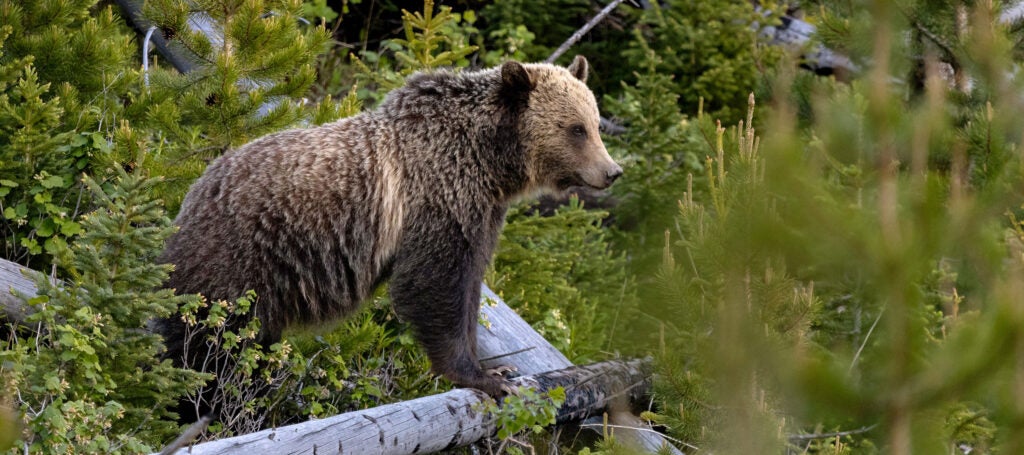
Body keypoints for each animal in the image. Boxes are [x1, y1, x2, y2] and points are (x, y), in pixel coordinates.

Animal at [155, 56, 618, 397]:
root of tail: (188, 198)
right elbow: (435, 283)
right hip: (236, 260)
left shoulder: (481, 211)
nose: (612, 171)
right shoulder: (437, 200)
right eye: (576, 128)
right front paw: (480, 376)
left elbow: (470, 286)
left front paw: (499, 368)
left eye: (595, 123)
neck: (486, 161)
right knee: (204, 342)